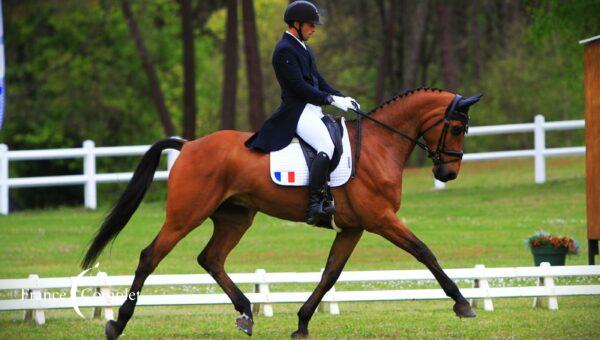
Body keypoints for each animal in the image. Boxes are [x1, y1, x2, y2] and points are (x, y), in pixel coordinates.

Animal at [81, 87, 482, 338]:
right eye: (456, 127)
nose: (448, 174)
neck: (380, 146)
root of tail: (190, 144)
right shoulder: (381, 219)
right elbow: (424, 252)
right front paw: (462, 303)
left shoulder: (352, 228)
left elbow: (330, 274)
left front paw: (302, 323)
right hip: (185, 215)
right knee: (150, 256)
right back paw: (118, 323)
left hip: (236, 217)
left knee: (211, 258)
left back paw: (246, 312)